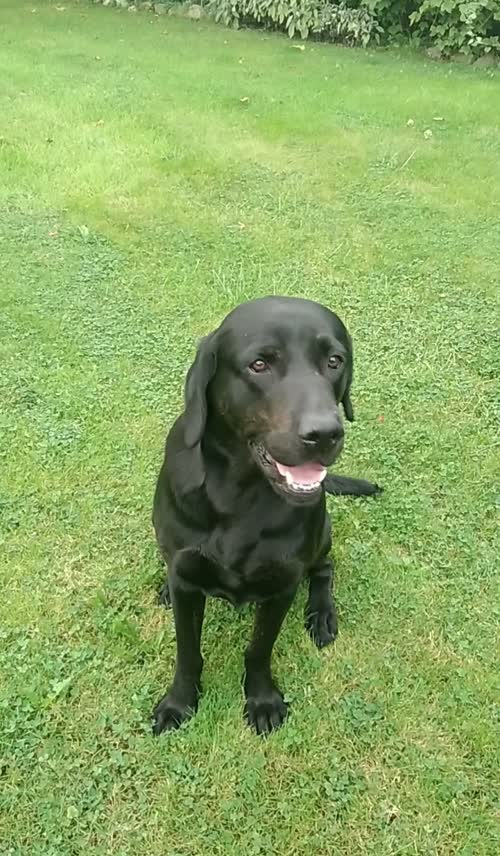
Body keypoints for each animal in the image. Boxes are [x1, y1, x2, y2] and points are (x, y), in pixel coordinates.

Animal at [152, 298, 378, 732]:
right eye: (259, 364)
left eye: (334, 361)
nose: (324, 434)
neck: (240, 494)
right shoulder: (186, 577)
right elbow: (188, 651)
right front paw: (179, 702)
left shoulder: (282, 585)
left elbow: (258, 649)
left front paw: (262, 699)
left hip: (322, 532)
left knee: (323, 569)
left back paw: (322, 614)